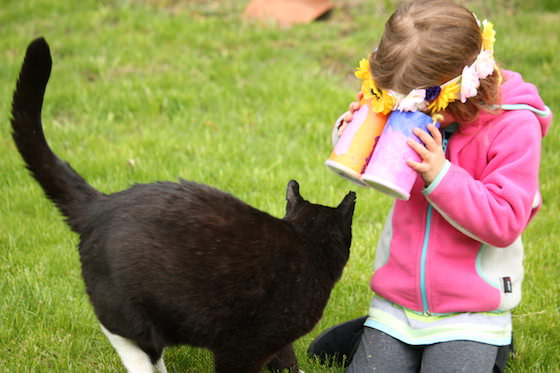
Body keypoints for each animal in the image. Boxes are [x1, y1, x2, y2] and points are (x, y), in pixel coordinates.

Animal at [9, 37, 354, 372]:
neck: (307, 241)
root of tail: (101, 204)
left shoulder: (276, 342)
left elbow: (286, 361)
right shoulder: (243, 348)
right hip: (130, 310)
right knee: (135, 345)